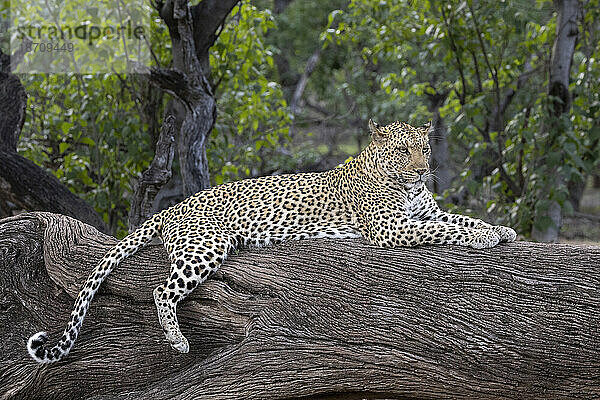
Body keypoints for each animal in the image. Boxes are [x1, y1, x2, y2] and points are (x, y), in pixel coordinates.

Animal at [28, 118, 516, 362]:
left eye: (424, 149)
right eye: (402, 151)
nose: (420, 170)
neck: (405, 187)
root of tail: (174, 205)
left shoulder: (424, 212)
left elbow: (458, 218)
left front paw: (500, 229)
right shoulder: (392, 227)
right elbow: (449, 230)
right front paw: (488, 235)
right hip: (205, 245)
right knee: (159, 290)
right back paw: (178, 341)